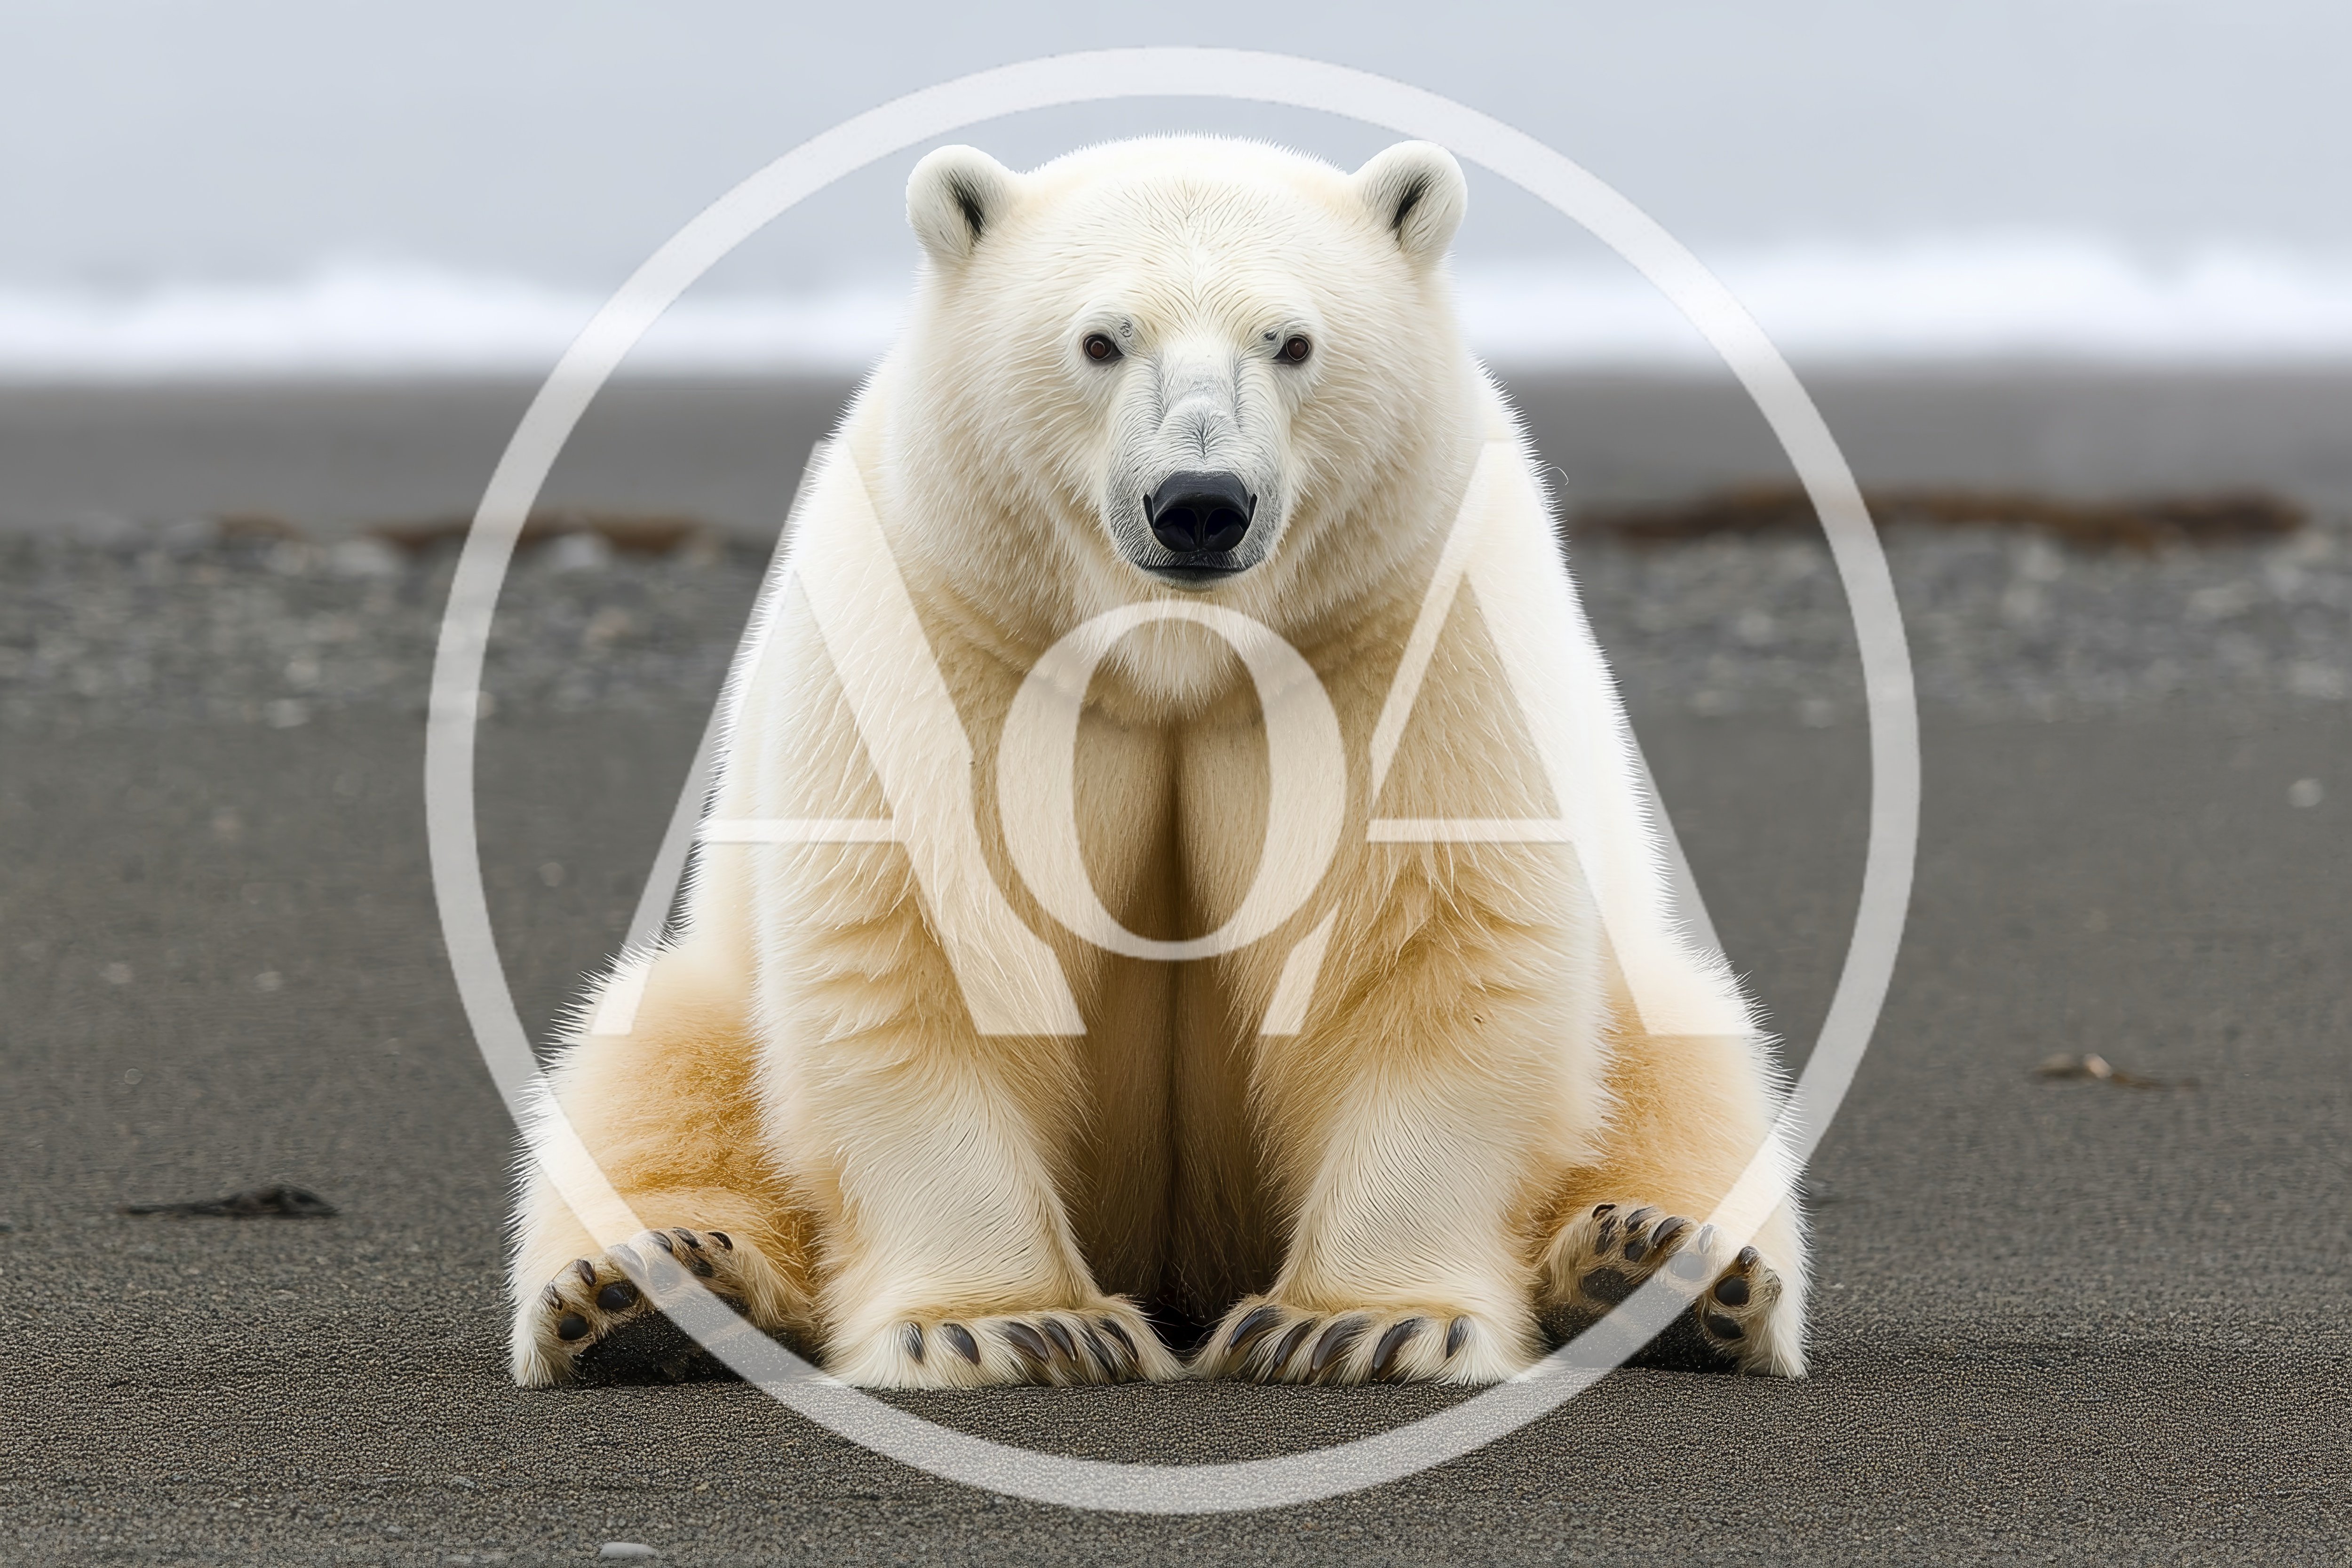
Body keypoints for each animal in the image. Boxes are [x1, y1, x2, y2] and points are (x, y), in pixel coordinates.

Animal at [507, 136, 1808, 1390]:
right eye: (1101, 338)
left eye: (1291, 340)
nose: (1199, 503)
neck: (1176, 654)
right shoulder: (960, 634)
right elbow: (927, 943)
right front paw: (1005, 1325)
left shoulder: (1395, 638)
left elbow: (1427, 944)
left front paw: (1365, 1324)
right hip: (708, 996)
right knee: (645, 1069)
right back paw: (649, 1291)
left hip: (1644, 995)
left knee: (1689, 1066)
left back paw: (1656, 1268)